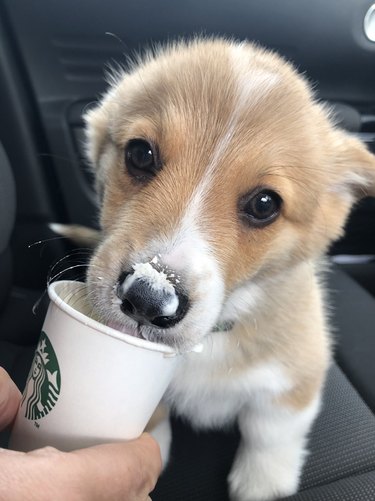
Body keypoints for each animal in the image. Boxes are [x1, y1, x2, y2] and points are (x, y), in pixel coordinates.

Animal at [82, 40, 375, 500]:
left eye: (264, 204)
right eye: (140, 154)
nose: (148, 299)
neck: (211, 337)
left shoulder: (297, 374)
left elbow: (270, 431)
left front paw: (262, 482)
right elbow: (153, 412)